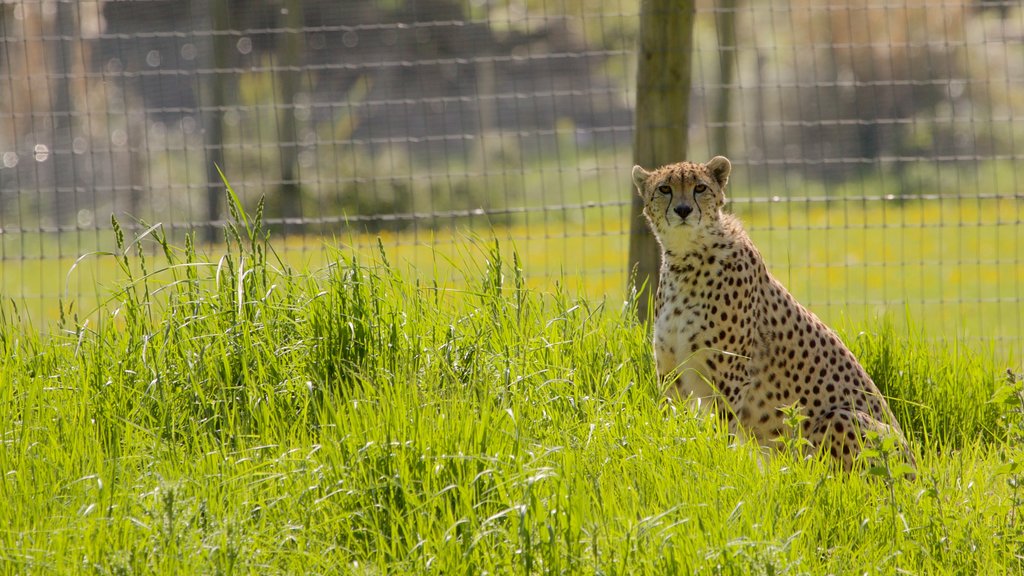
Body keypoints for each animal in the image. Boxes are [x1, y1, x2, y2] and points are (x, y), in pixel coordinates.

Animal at [630, 154, 913, 473]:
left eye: (700, 187)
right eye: (664, 189)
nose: (682, 209)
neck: (687, 259)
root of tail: (917, 469)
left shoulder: (729, 377)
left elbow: (720, 435)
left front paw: (717, 464)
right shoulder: (671, 374)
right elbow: (669, 428)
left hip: (841, 418)